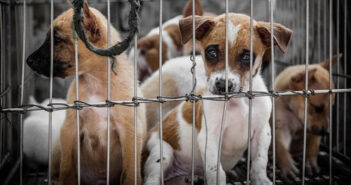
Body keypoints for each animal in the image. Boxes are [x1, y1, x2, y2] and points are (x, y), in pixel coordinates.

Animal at [26, 2, 146, 185]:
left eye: (58, 40)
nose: (28, 61)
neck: (95, 82)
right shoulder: (70, 129)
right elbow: (67, 169)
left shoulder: (130, 132)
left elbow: (130, 173)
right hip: (57, 148)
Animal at [142, 13, 292, 185]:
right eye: (211, 53)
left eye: (247, 57)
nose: (222, 85)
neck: (238, 100)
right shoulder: (210, 137)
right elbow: (216, 170)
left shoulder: (262, 132)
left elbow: (259, 162)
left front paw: (261, 180)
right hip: (162, 152)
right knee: (153, 176)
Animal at [276, 53, 340, 181]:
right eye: (318, 108)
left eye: (331, 108)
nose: (327, 133)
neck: (294, 112)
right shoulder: (281, 127)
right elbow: (281, 147)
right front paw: (287, 165)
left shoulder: (313, 132)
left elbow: (312, 147)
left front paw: (310, 162)